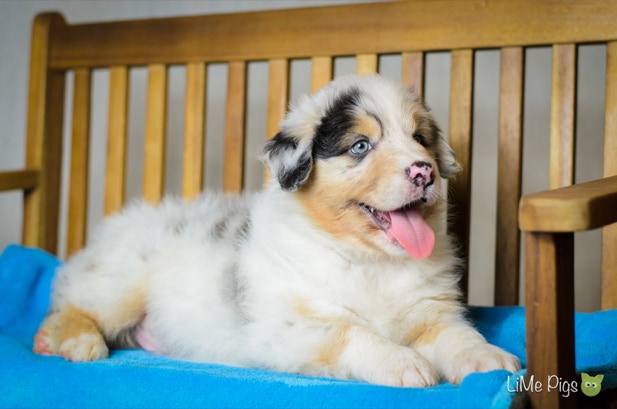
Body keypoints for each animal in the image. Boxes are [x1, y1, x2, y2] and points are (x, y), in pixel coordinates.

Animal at [34, 74, 520, 387]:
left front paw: (490, 359)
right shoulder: (284, 327)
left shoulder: (431, 312)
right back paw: (71, 340)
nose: (424, 171)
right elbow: (349, 332)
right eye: (360, 146)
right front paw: (404, 362)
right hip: (121, 282)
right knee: (69, 302)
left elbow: (458, 334)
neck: (369, 261)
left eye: (420, 138)